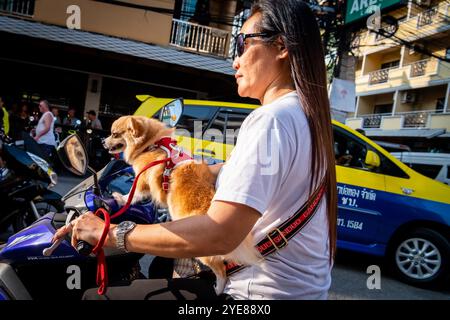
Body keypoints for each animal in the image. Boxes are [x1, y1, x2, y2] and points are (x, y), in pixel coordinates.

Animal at [103, 115, 262, 292]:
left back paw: (218, 288)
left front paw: (121, 199)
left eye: (114, 134)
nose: (102, 141)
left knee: (221, 269)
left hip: (203, 250)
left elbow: (133, 194)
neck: (151, 144)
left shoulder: (142, 181)